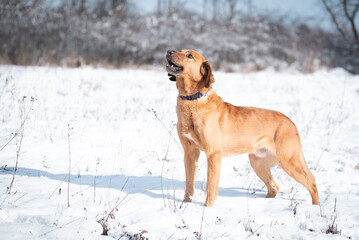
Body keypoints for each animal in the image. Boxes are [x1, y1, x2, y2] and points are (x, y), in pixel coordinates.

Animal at [166, 48, 320, 206]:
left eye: (189, 55)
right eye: (180, 50)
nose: (169, 51)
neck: (193, 100)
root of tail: (291, 122)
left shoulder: (213, 154)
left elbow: (211, 187)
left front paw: (207, 207)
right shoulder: (190, 152)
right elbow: (189, 183)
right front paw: (186, 204)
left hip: (288, 161)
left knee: (312, 183)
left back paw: (315, 207)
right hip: (258, 162)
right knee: (274, 187)